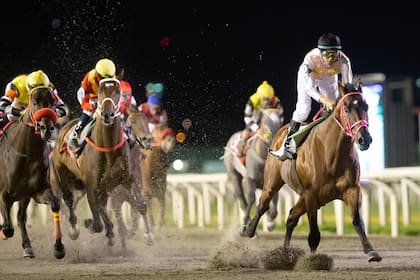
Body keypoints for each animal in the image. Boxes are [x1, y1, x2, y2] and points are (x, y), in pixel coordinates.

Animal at [0, 85, 65, 258]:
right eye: (34, 102)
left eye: (52, 102)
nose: (46, 128)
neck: (27, 153)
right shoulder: (4, 192)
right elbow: (7, 228)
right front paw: (3, 231)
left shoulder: (37, 191)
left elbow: (55, 204)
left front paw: (58, 247)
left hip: (25, 195)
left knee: (21, 217)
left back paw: (27, 246)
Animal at [50, 77, 149, 246]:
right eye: (133, 122)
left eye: (118, 91)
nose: (107, 114)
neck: (108, 148)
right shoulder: (92, 185)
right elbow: (97, 223)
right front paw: (90, 224)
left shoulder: (127, 178)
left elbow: (141, 205)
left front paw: (147, 235)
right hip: (62, 175)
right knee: (69, 200)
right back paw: (74, 228)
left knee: (99, 204)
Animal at [240, 81, 384, 262]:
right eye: (346, 109)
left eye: (366, 106)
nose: (365, 139)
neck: (331, 154)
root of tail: (280, 132)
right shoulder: (311, 194)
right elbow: (314, 233)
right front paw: (314, 260)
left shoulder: (352, 189)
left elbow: (358, 221)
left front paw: (371, 251)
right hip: (272, 182)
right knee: (263, 205)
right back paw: (248, 230)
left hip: (304, 196)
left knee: (291, 217)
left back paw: (284, 252)